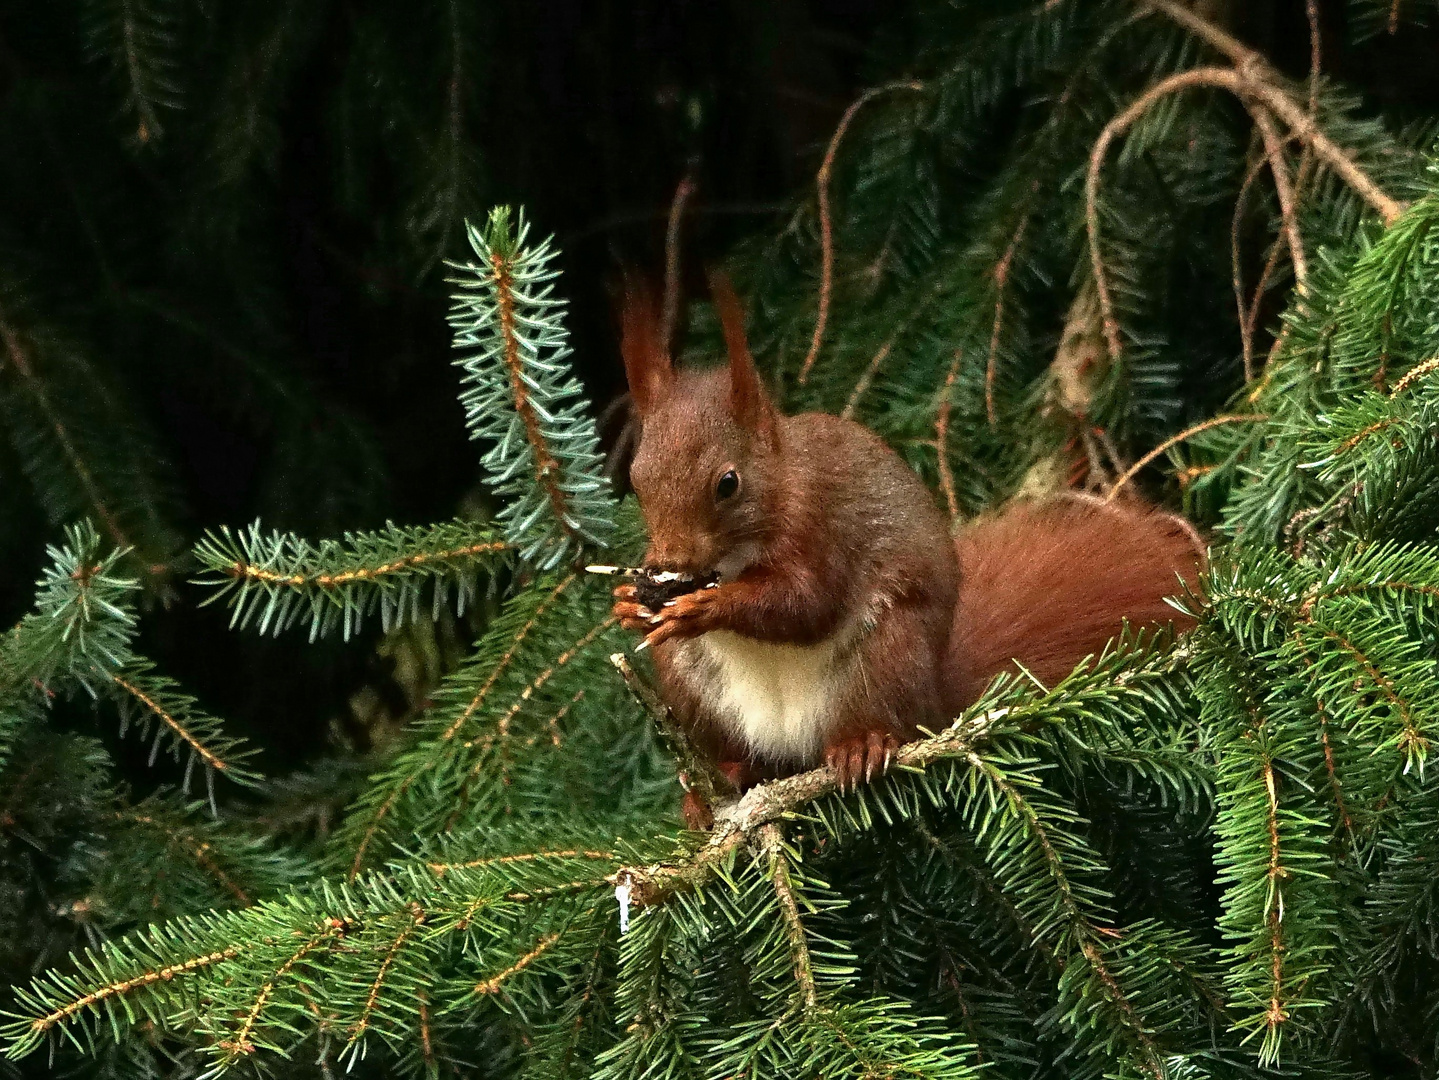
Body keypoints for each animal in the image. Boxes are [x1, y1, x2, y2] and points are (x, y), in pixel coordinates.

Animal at [607, 274, 1203, 805]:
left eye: (727, 483)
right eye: (637, 476)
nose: (671, 558)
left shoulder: (822, 529)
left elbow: (806, 605)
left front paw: (706, 607)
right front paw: (626, 602)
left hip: (888, 655)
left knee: (883, 721)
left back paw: (862, 746)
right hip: (692, 688)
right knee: (738, 759)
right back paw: (718, 785)